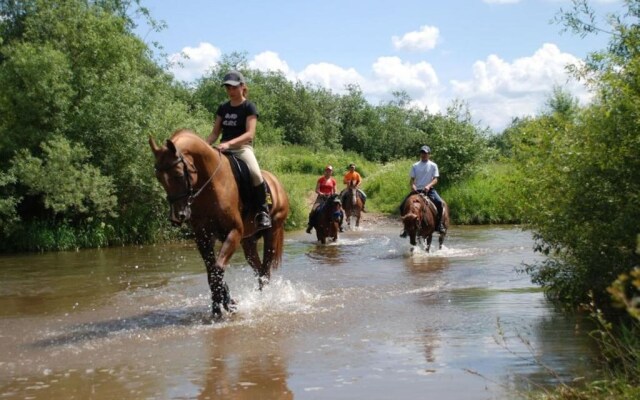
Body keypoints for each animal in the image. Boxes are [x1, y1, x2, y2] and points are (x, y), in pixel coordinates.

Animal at [149, 130, 288, 320]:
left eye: (178, 174)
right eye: (159, 178)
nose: (177, 217)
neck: (211, 184)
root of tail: (276, 183)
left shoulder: (233, 233)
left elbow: (218, 270)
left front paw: (224, 306)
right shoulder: (203, 237)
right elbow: (212, 273)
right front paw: (223, 304)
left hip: (271, 233)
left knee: (265, 272)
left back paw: (262, 302)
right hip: (248, 241)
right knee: (259, 270)